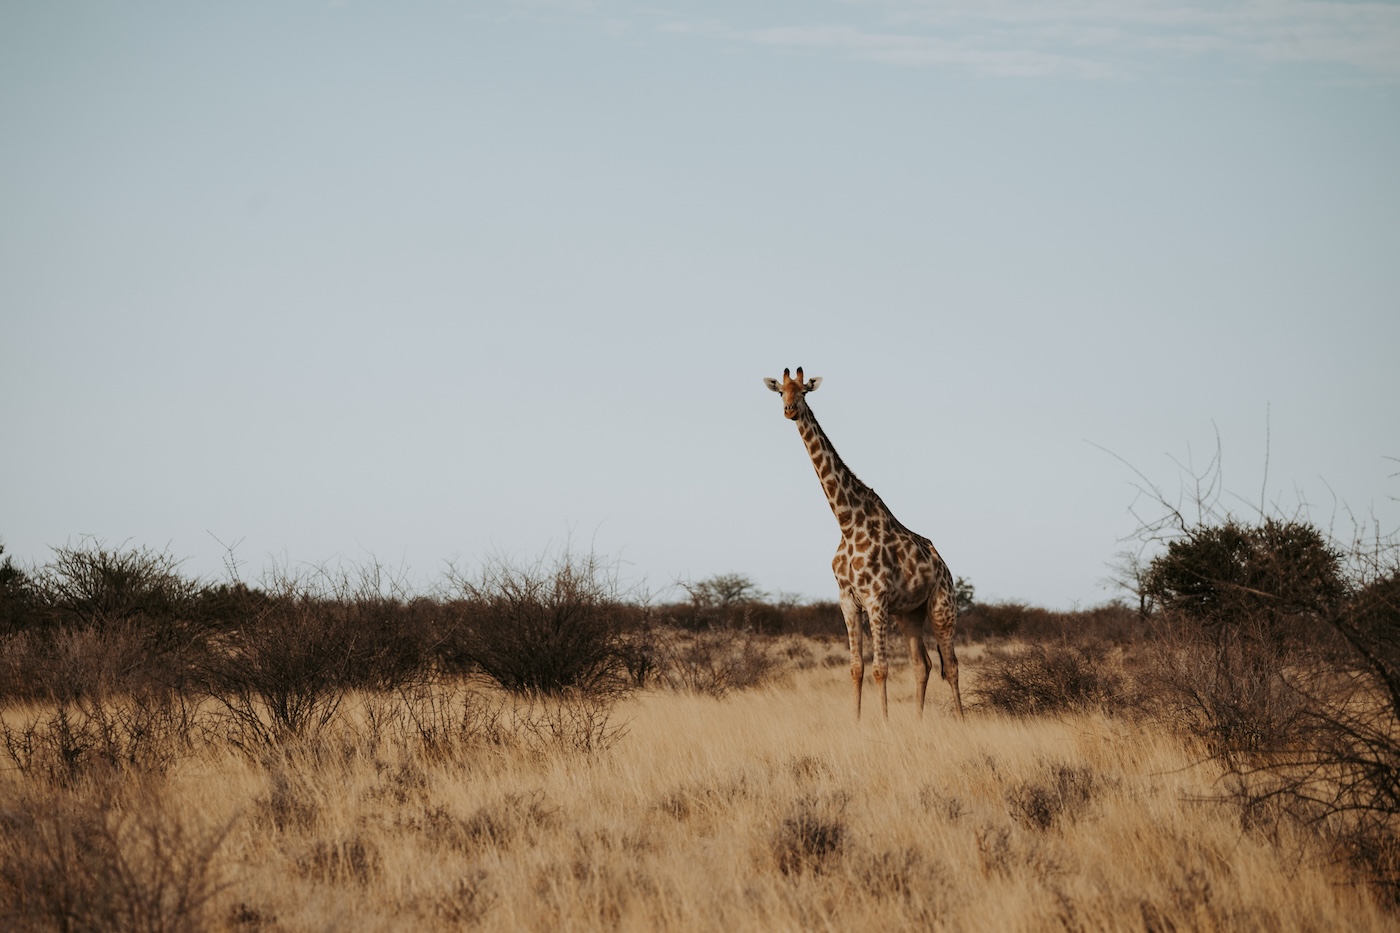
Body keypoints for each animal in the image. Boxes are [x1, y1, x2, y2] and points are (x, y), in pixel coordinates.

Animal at [767, 367, 963, 714]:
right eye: (780, 392)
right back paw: (917, 720)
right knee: (922, 665)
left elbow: (880, 669)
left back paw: (961, 719)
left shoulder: (876, 599)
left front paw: (884, 722)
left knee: (951, 665)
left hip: (942, 607)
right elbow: (856, 668)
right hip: (909, 615)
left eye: (804, 391)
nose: (790, 410)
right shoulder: (847, 600)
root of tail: (946, 568)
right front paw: (856, 721)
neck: (847, 522)